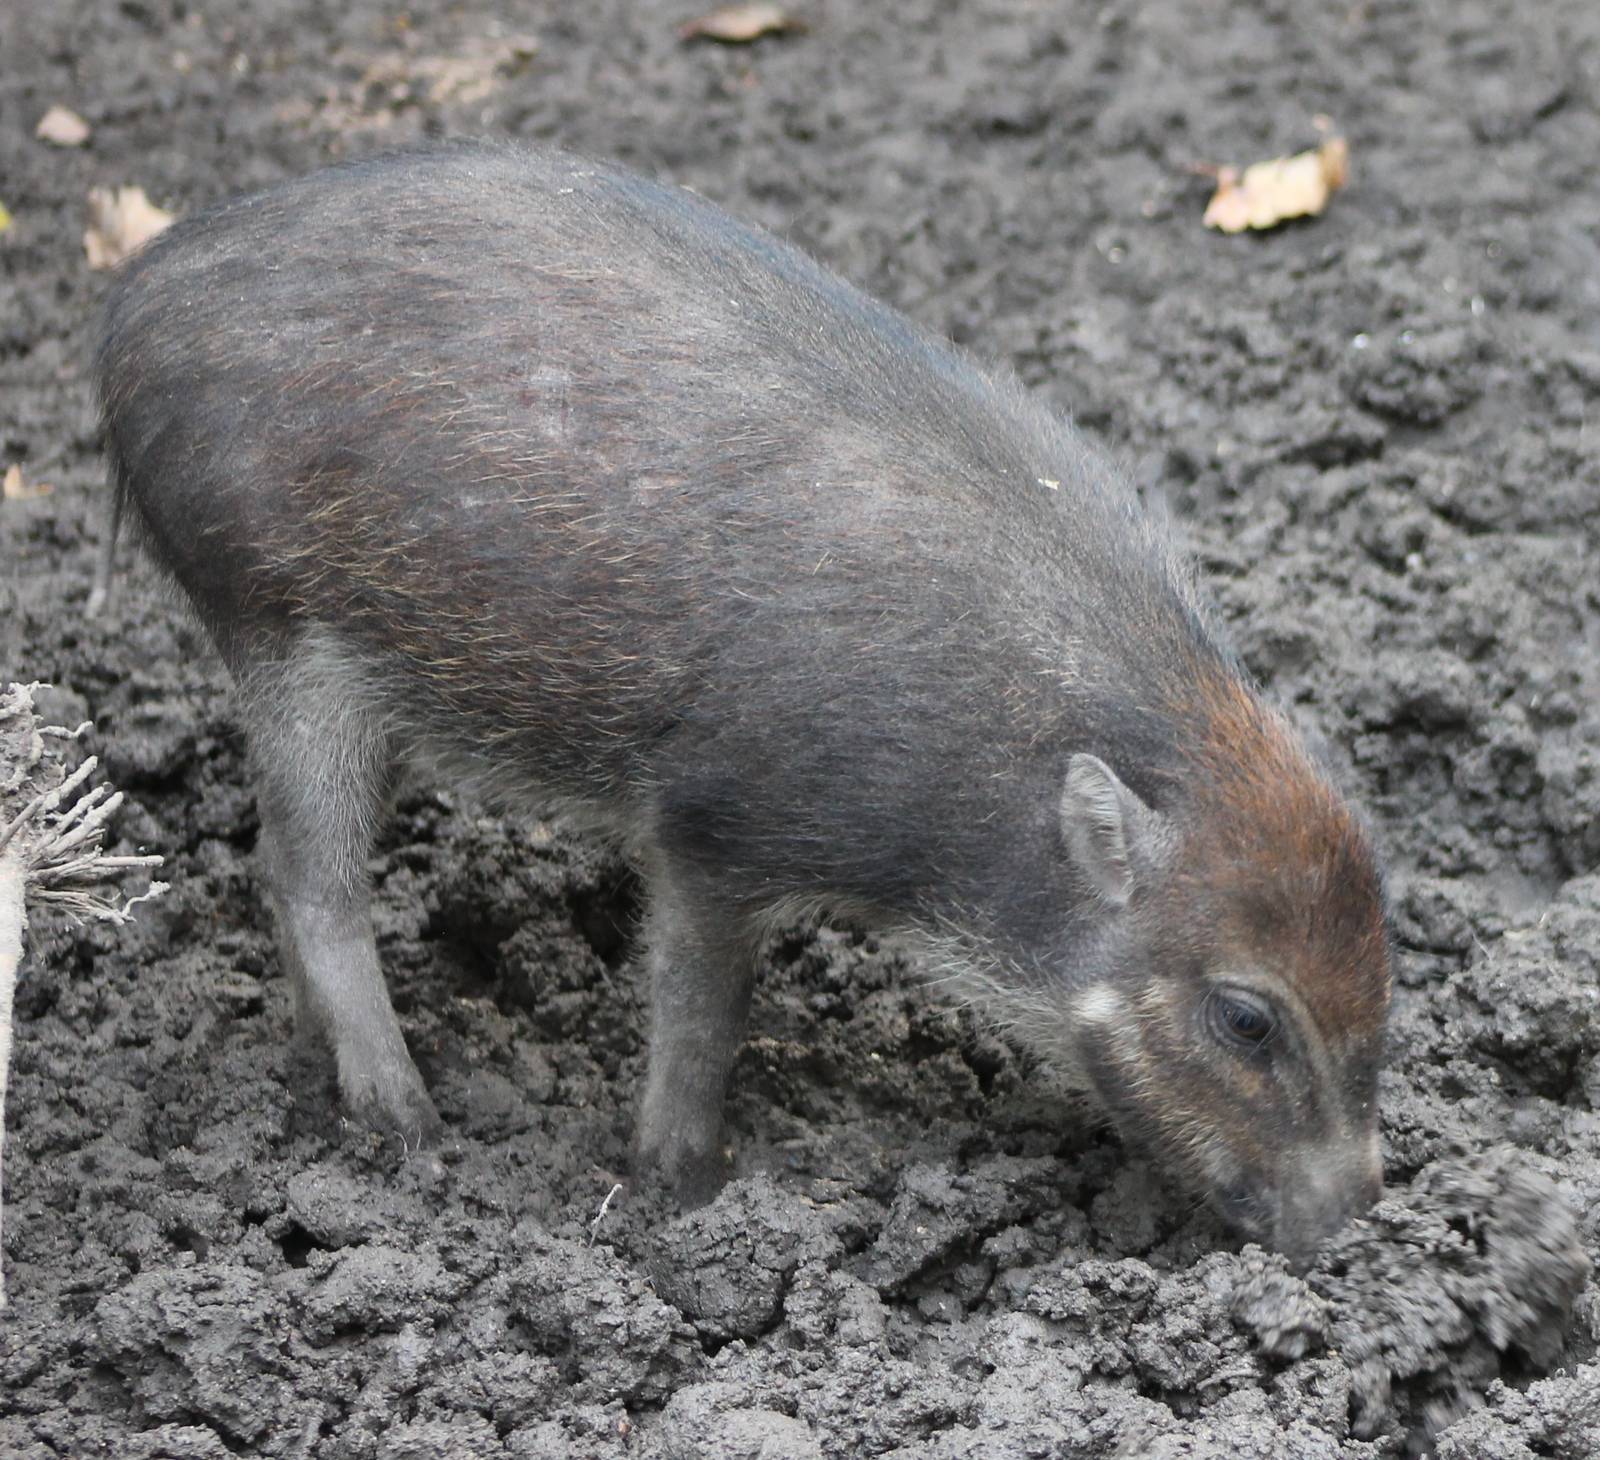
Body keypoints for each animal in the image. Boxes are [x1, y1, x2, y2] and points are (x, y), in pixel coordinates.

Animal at [94, 141, 1392, 1259]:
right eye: (1246, 1017)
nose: (1345, 1230)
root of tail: (132, 301)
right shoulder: (712, 826)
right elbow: (702, 1013)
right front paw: (682, 1186)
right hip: (282, 635)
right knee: (307, 878)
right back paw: (406, 1125)